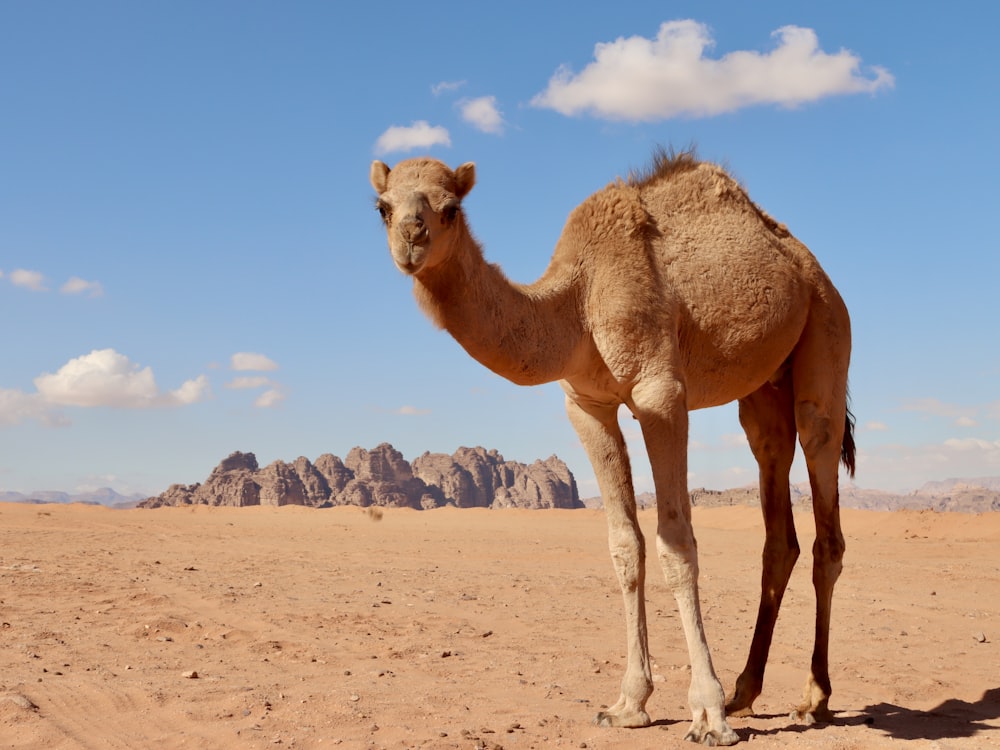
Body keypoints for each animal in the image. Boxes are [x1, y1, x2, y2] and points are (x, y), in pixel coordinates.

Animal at [372, 148, 856, 748]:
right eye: (382, 207)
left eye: (450, 208)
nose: (410, 239)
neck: (577, 300)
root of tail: (811, 266)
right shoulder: (587, 405)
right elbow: (625, 544)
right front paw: (628, 702)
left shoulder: (660, 392)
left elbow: (676, 543)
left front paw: (706, 713)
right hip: (763, 390)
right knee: (776, 513)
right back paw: (746, 691)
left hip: (826, 328)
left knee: (822, 487)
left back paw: (812, 699)